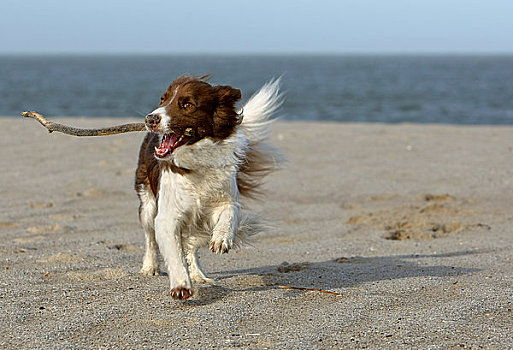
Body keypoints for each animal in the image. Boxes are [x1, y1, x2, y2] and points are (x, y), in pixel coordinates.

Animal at [134, 75, 282, 300]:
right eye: (163, 99)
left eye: (187, 104)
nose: (150, 119)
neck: (198, 161)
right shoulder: (167, 216)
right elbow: (174, 252)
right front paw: (180, 284)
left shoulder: (224, 199)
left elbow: (229, 212)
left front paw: (222, 238)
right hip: (148, 202)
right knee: (150, 237)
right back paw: (150, 267)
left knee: (190, 246)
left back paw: (198, 274)